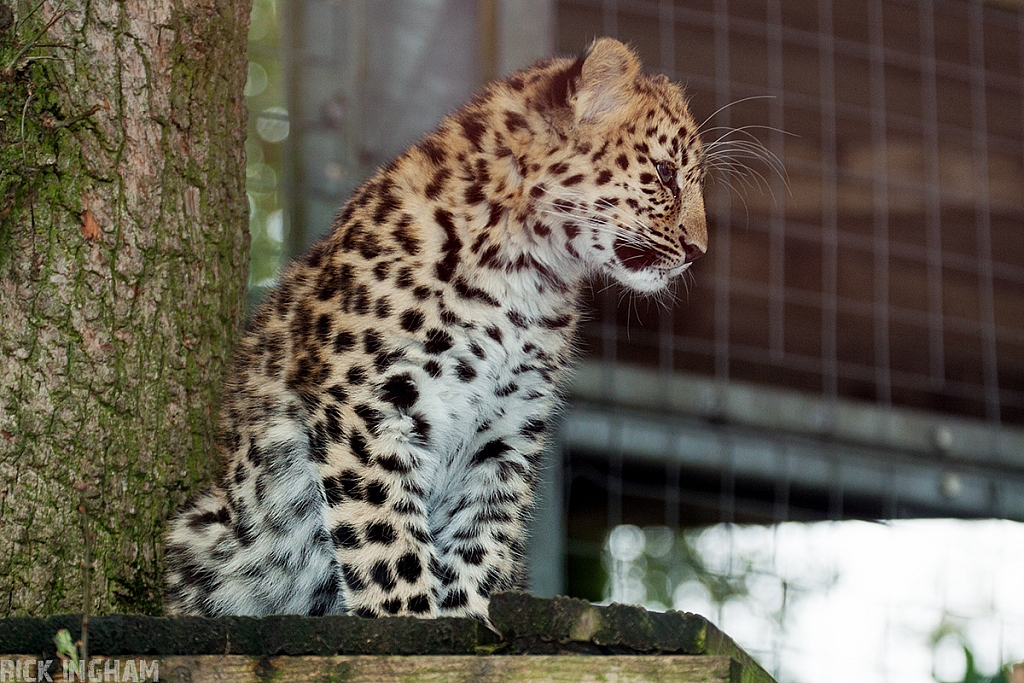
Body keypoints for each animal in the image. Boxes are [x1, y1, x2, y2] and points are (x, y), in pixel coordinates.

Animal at [167, 40, 708, 622]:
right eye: (665, 173)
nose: (698, 250)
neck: (526, 276)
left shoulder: (507, 431)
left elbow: (484, 534)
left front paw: (469, 613)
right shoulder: (365, 405)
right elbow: (386, 534)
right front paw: (410, 615)